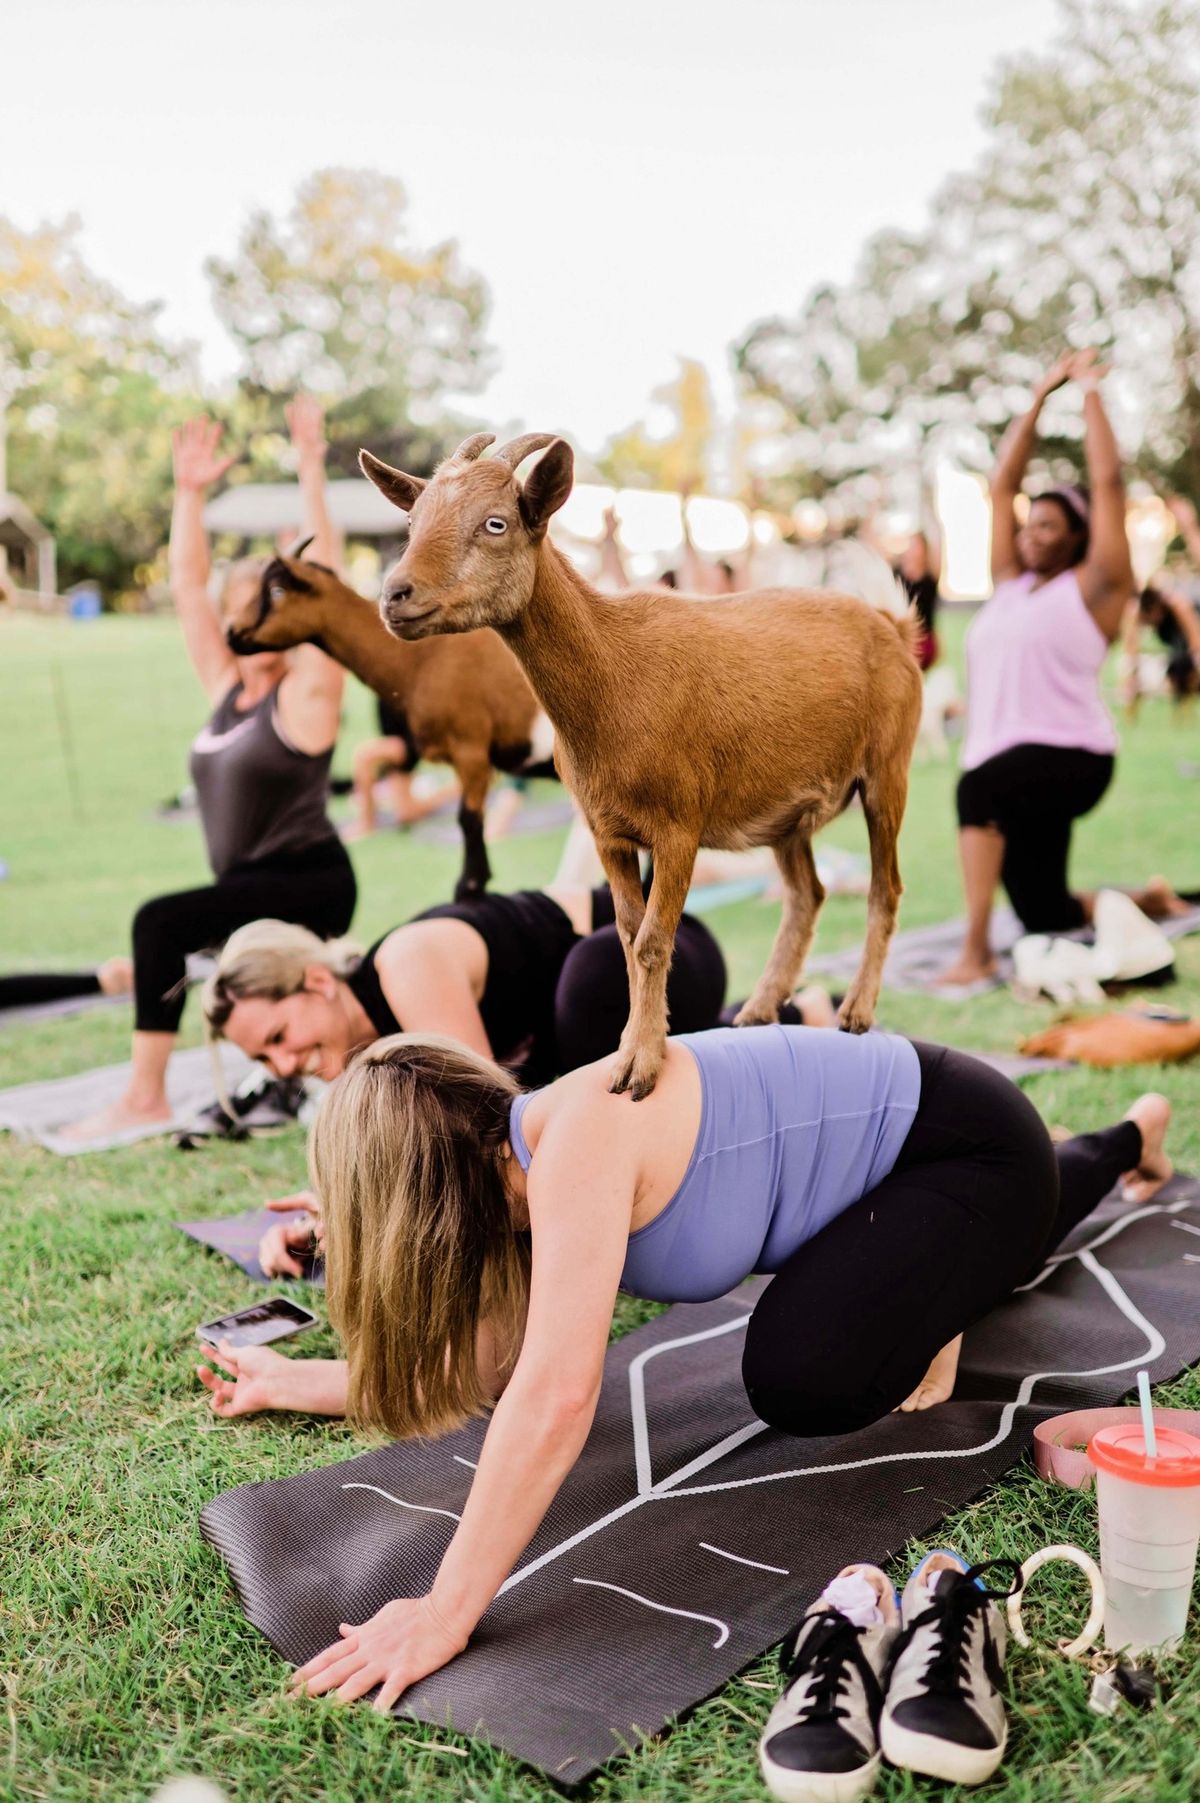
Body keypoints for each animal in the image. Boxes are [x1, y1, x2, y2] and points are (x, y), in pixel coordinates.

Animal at [224, 540, 540, 894]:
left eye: (277, 591)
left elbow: (469, 824)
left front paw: (469, 888)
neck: (423, 660)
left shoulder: (470, 750)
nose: (231, 634)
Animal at [360, 432, 918, 1096]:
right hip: (787, 816)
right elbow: (627, 936)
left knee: (885, 887)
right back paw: (758, 1010)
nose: (395, 596)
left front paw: (642, 1067)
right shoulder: (609, 832)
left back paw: (855, 1011)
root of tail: (892, 625)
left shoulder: (679, 827)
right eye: (412, 522)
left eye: (496, 523)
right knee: (806, 894)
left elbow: (654, 940)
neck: (614, 675)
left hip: (887, 771)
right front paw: (629, 1050)